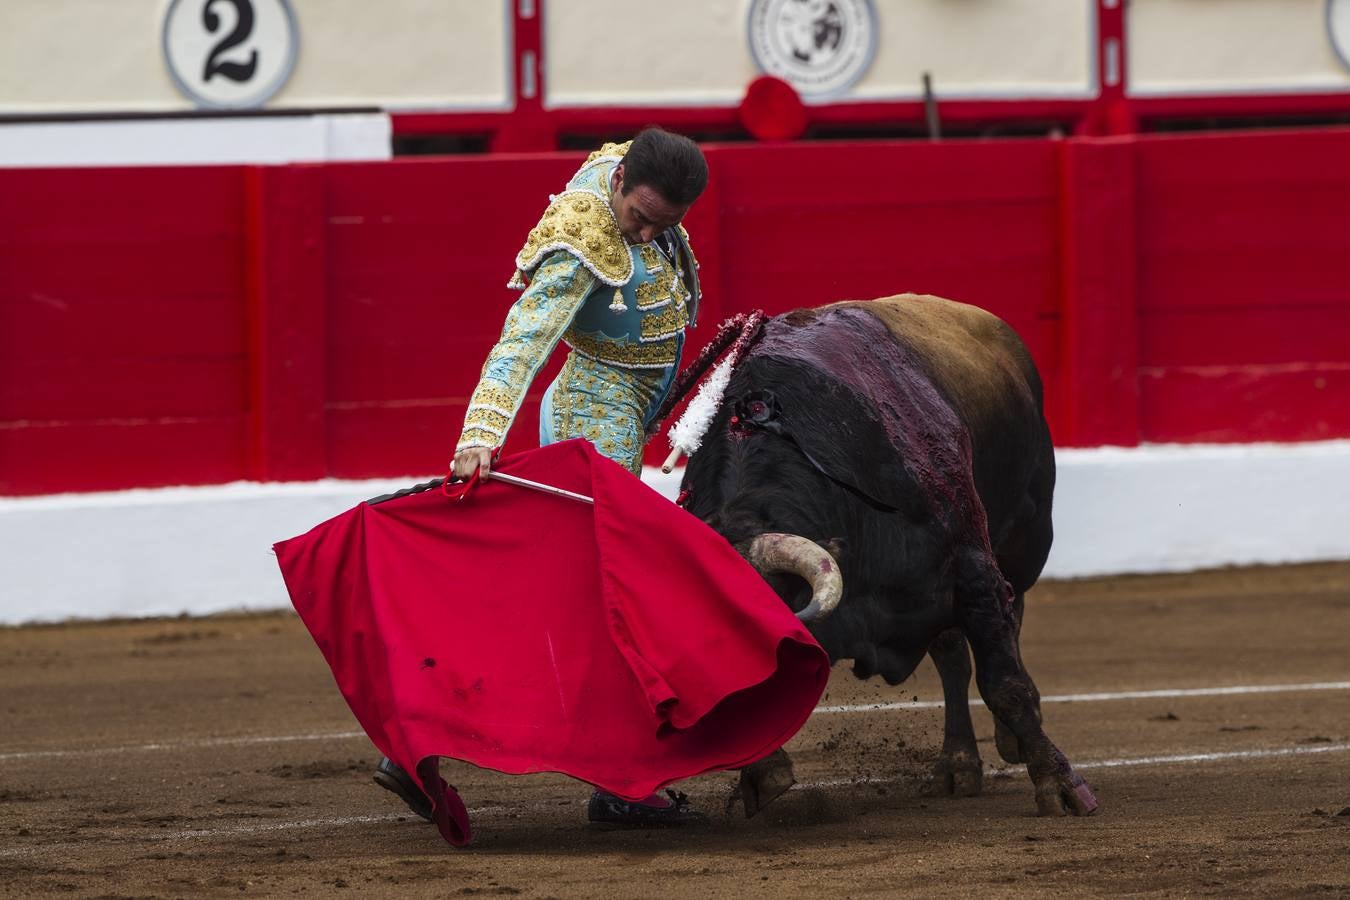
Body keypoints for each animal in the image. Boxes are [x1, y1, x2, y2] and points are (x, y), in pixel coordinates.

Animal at [685, 299, 1096, 820]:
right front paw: (761, 777)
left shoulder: (973, 573)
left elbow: (1006, 684)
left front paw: (1061, 785)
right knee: (952, 659)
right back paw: (957, 766)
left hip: (1026, 538)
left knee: (1012, 615)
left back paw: (1006, 742)